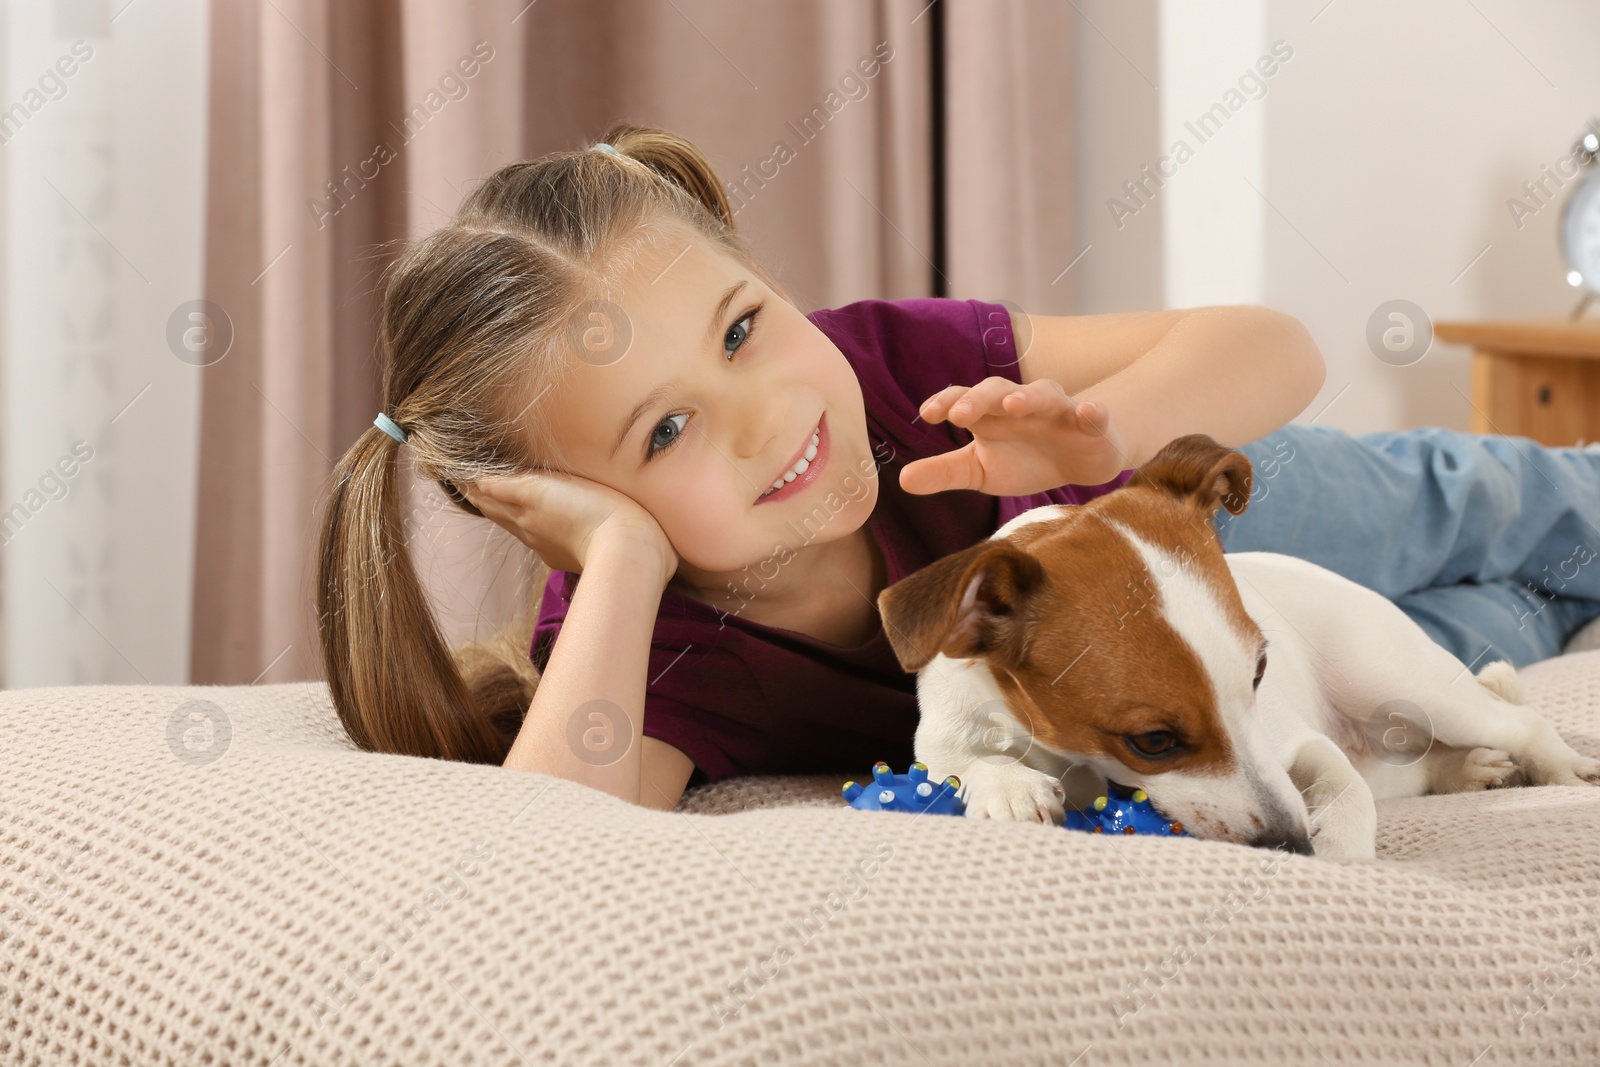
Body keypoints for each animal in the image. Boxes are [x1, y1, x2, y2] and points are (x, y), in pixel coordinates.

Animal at [876, 435, 1600, 857]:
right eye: (1153, 741)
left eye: (1260, 671)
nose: (1290, 843)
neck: (1078, 759)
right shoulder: (945, 725)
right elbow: (955, 759)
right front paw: (1007, 784)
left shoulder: (1296, 740)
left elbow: (1341, 785)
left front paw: (1339, 842)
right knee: (1419, 767)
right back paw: (1468, 770)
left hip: (1407, 684)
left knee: (1516, 721)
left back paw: (1557, 765)